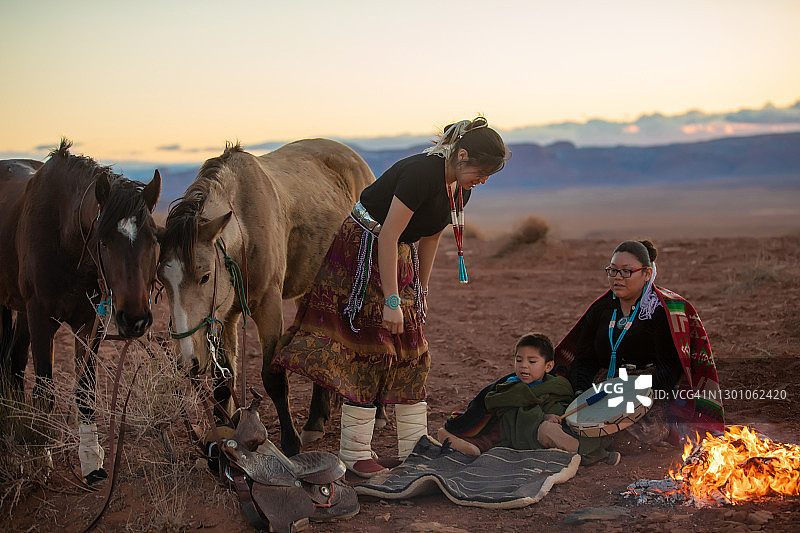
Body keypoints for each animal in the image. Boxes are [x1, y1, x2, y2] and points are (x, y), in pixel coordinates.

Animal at [0, 140, 161, 478]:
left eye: (155, 239)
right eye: (104, 241)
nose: (135, 320)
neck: (63, 239)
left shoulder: (90, 323)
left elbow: (86, 391)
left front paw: (90, 460)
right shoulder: (41, 318)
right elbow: (45, 392)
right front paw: (42, 459)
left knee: (15, 365)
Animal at [160, 139, 378, 456]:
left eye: (204, 276)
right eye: (161, 281)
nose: (189, 361)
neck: (245, 226)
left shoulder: (268, 305)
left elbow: (273, 378)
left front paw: (290, 443)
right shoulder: (226, 315)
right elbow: (223, 380)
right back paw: (315, 420)